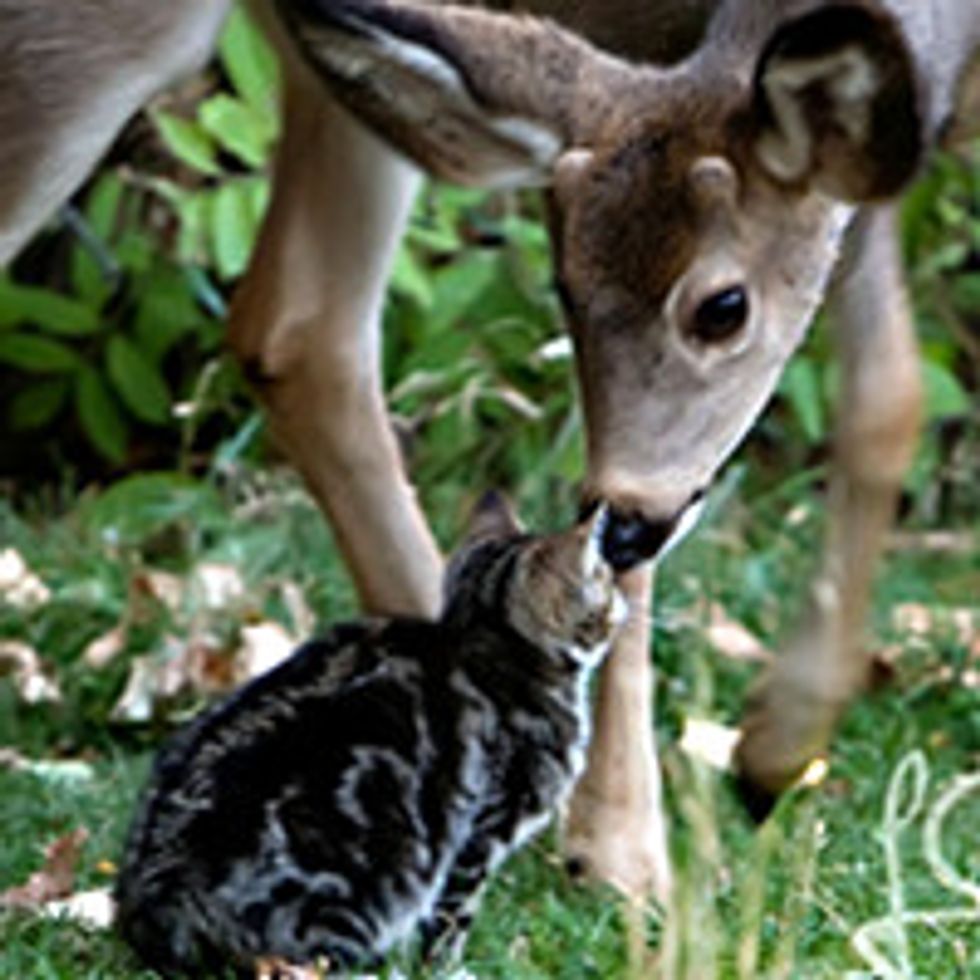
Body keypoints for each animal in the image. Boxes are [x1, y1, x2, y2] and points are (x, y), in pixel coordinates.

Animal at [3, 0, 976, 904]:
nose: (630, 522)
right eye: (566, 287)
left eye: (724, 307)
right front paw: (625, 857)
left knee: (298, 325)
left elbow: (891, 393)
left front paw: (781, 745)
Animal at [115, 494, 628, 976]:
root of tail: (154, 903)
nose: (624, 603)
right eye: (603, 576)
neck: (481, 632)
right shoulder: (479, 834)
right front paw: (448, 969)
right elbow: (452, 918)